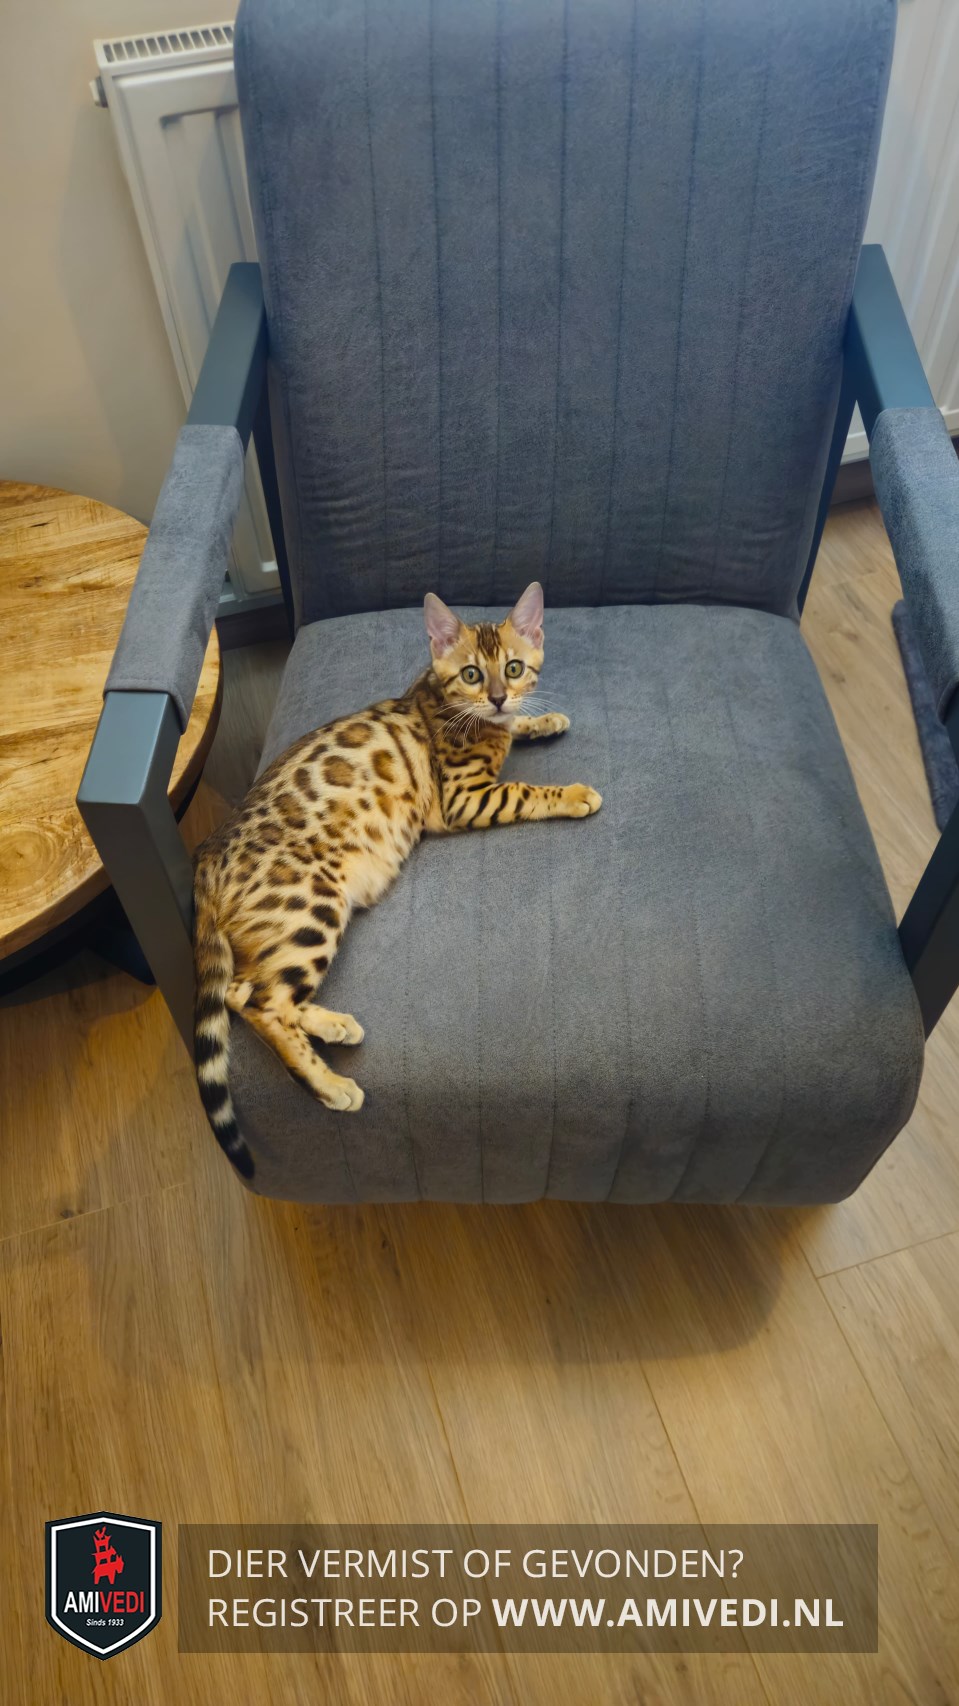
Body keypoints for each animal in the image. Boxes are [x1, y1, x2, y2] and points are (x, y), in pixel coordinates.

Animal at [192, 581, 601, 1176]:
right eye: (472, 674)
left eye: (515, 667)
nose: (499, 697)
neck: (437, 699)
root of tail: (209, 849)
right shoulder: (463, 798)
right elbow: (525, 791)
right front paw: (571, 793)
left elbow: (521, 727)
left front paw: (540, 719)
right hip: (311, 905)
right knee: (262, 1002)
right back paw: (331, 1083)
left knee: (245, 991)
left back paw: (332, 1026)